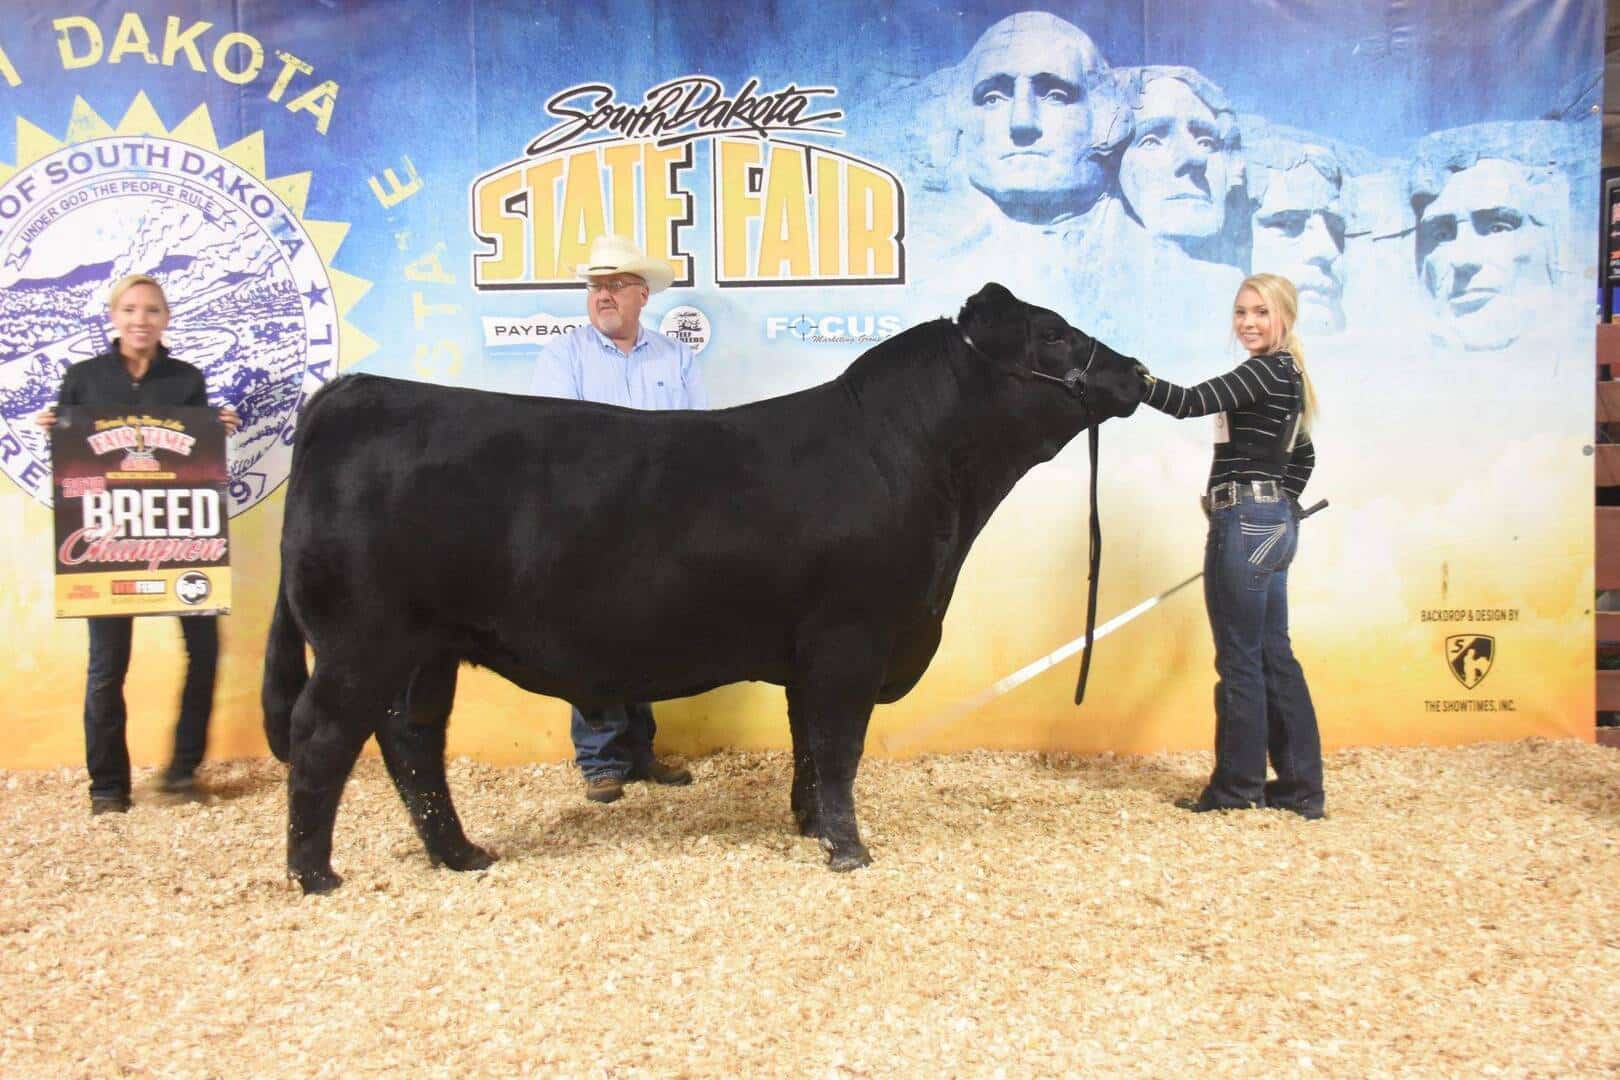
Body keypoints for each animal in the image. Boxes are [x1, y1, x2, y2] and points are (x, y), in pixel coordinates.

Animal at [263, 284, 1143, 893]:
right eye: (1053, 333)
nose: (1135, 370)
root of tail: (354, 391)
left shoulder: (810, 651)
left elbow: (806, 743)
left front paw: (807, 825)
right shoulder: (851, 637)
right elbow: (839, 745)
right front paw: (849, 849)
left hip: (427, 649)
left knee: (411, 742)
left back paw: (462, 855)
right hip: (364, 640)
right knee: (322, 737)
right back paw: (315, 875)